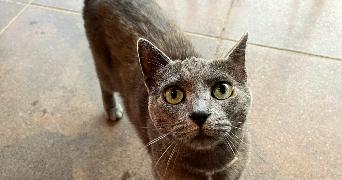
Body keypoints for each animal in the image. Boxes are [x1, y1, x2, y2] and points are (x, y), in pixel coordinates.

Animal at [82, 0, 251, 179]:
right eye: (173, 94)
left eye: (222, 89)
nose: (200, 114)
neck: (209, 168)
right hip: (104, 67)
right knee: (104, 85)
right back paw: (112, 110)